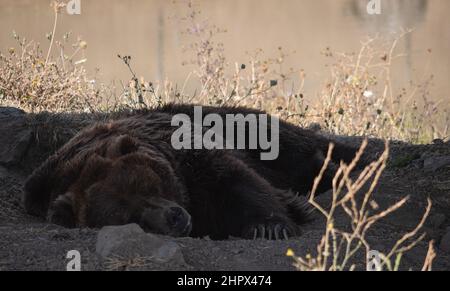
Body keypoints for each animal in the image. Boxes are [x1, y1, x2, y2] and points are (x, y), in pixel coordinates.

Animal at [23, 104, 358, 241]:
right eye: (129, 216)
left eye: (149, 185)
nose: (174, 217)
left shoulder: (187, 155)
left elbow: (235, 182)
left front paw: (271, 226)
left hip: (227, 122)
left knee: (290, 146)